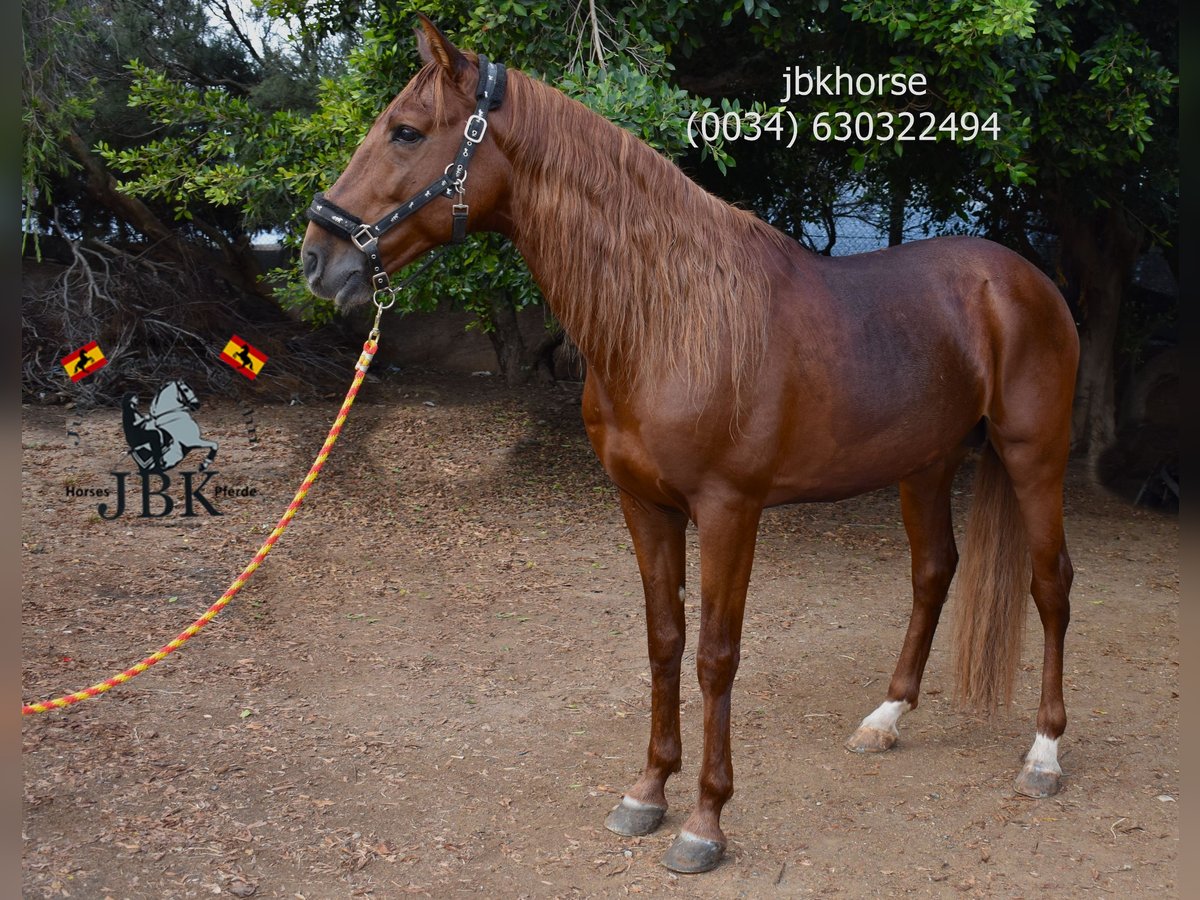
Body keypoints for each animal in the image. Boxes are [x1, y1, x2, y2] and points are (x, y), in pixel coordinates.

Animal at [300, 15, 1080, 873]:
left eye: (405, 131)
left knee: (1050, 584)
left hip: (1034, 456)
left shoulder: (730, 511)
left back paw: (1043, 753)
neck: (668, 318)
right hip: (925, 465)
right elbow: (663, 642)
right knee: (934, 572)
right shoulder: (644, 504)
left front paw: (706, 822)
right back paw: (886, 718)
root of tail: (1024, 280)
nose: (315, 258)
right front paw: (647, 792)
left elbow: (715, 654)